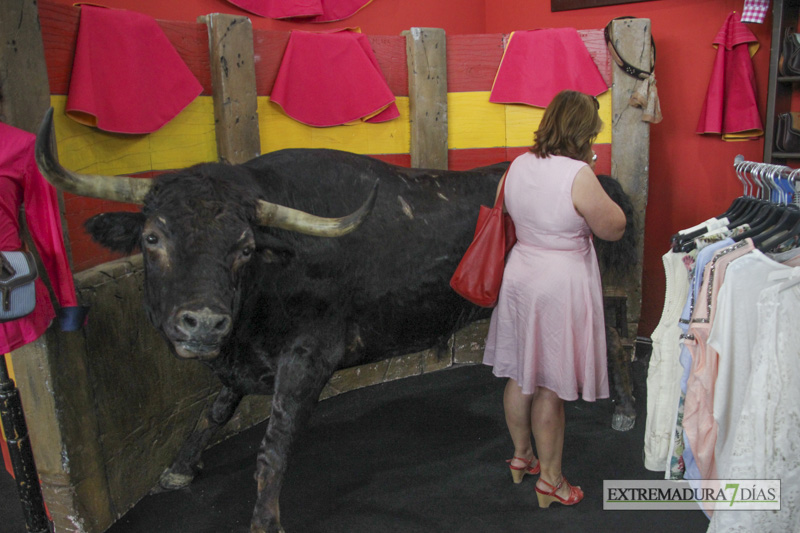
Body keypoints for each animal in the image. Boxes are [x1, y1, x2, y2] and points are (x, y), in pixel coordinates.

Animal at [36, 108, 636, 532]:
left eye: (244, 247)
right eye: (152, 237)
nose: (202, 323)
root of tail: (603, 180)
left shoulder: (308, 358)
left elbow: (274, 442)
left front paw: (264, 520)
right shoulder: (240, 359)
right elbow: (214, 411)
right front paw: (180, 467)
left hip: (608, 291)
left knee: (618, 344)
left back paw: (626, 410)